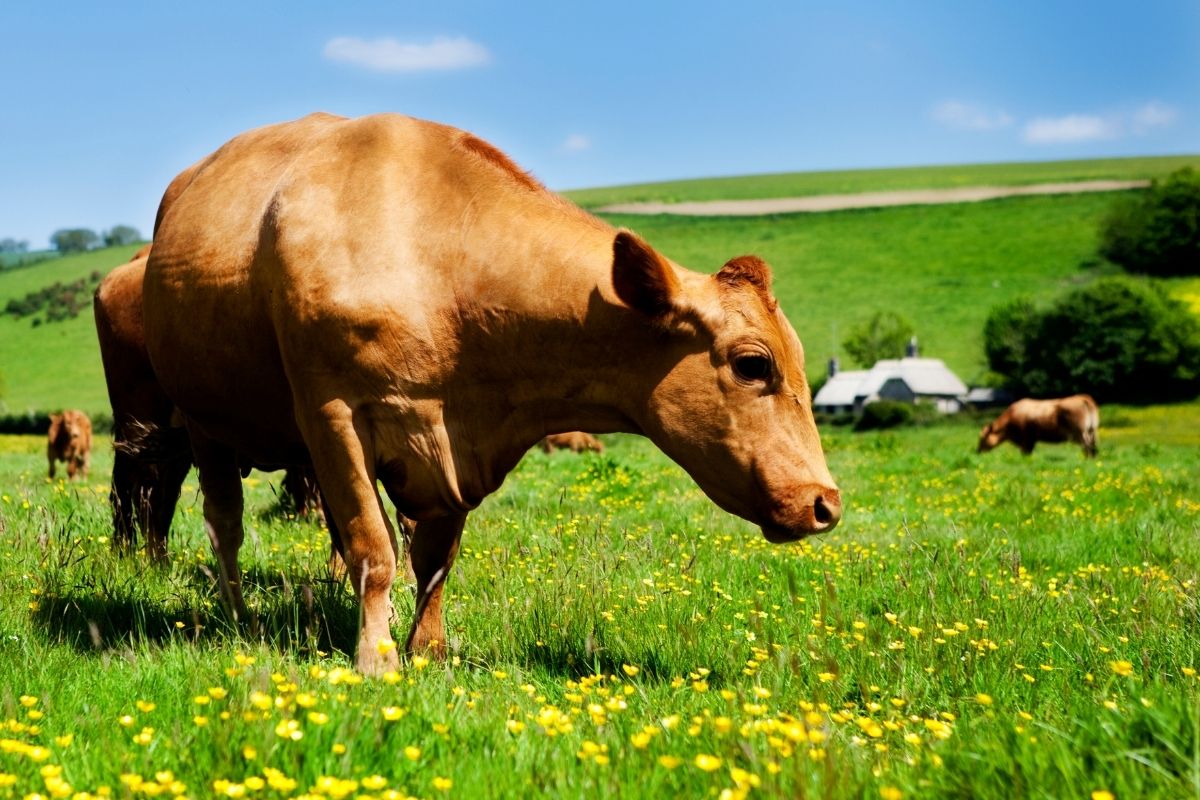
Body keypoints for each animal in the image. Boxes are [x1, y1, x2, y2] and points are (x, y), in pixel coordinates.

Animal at [140, 113, 840, 676]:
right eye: (753, 364)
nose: (825, 503)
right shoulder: (333, 414)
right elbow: (374, 546)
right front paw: (376, 659)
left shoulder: (451, 452)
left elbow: (433, 558)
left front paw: (427, 648)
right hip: (205, 424)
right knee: (225, 522)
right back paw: (238, 615)